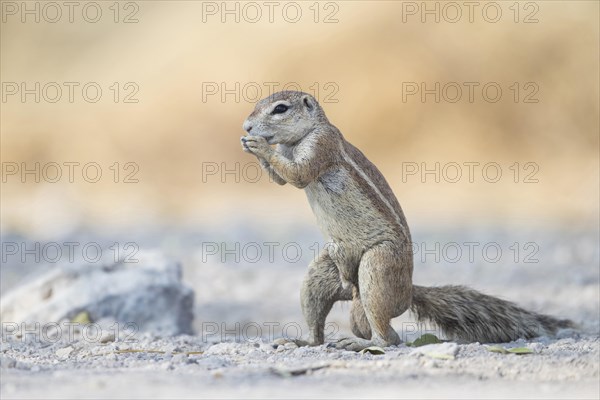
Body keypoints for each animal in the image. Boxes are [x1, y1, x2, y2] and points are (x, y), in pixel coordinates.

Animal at [240, 90, 572, 350]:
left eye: (280, 108)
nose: (246, 126)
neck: (300, 137)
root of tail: (407, 290)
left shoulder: (322, 144)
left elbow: (298, 174)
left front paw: (259, 146)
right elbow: (282, 180)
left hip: (378, 265)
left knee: (390, 337)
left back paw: (359, 343)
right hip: (325, 271)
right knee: (319, 316)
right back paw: (302, 340)